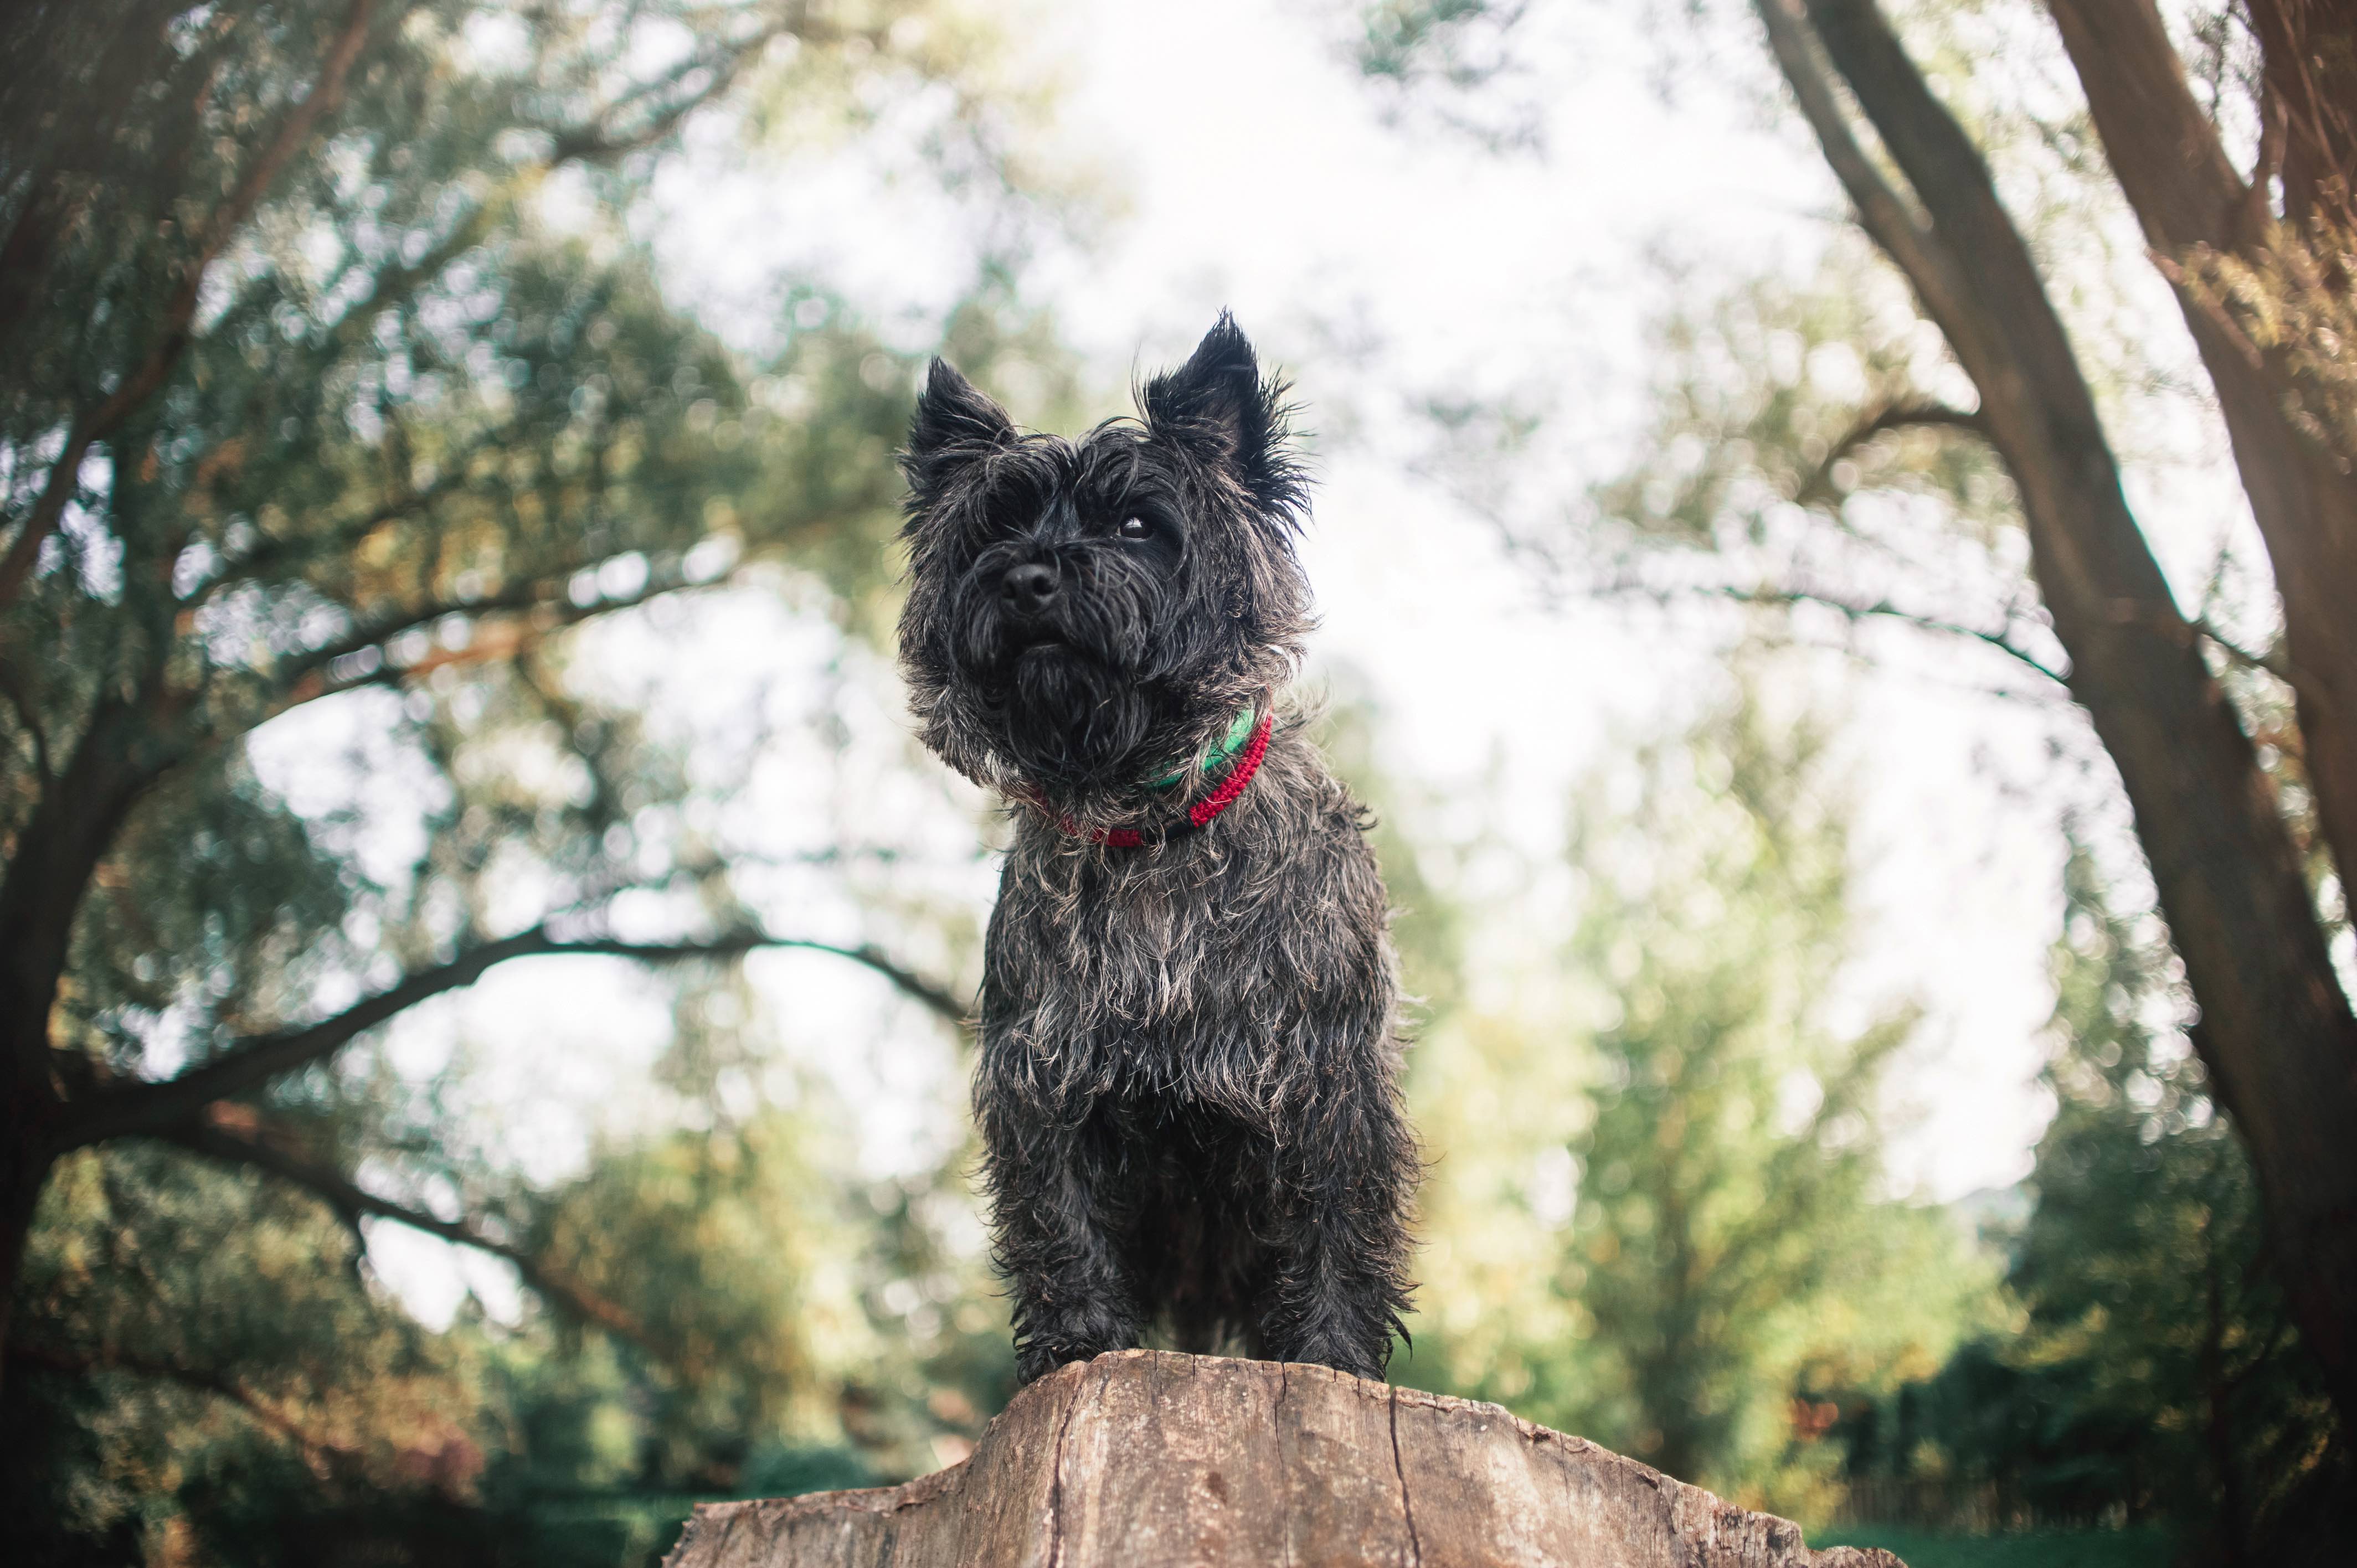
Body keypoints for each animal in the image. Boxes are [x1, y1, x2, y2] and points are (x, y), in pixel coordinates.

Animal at [896, 318, 1414, 1386]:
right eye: (994, 530)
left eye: (1139, 526)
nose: (1028, 576)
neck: (1152, 822)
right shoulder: (1045, 1080)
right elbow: (1061, 1226)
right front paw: (1076, 1347)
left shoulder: (1330, 1082)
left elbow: (1337, 1233)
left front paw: (1333, 1359)